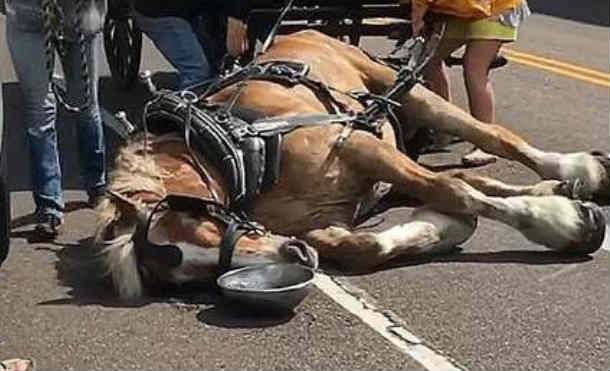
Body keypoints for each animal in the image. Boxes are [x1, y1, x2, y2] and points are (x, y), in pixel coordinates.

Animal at [92, 30, 604, 300]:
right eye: (192, 278)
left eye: (203, 224)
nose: (296, 256)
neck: (237, 152)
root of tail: (303, 31)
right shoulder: (330, 219)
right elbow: (366, 247)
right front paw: (442, 226)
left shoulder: (358, 146)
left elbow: (456, 193)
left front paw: (557, 225)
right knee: (469, 176)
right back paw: (562, 192)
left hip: (408, 95)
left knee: (492, 139)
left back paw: (576, 171)